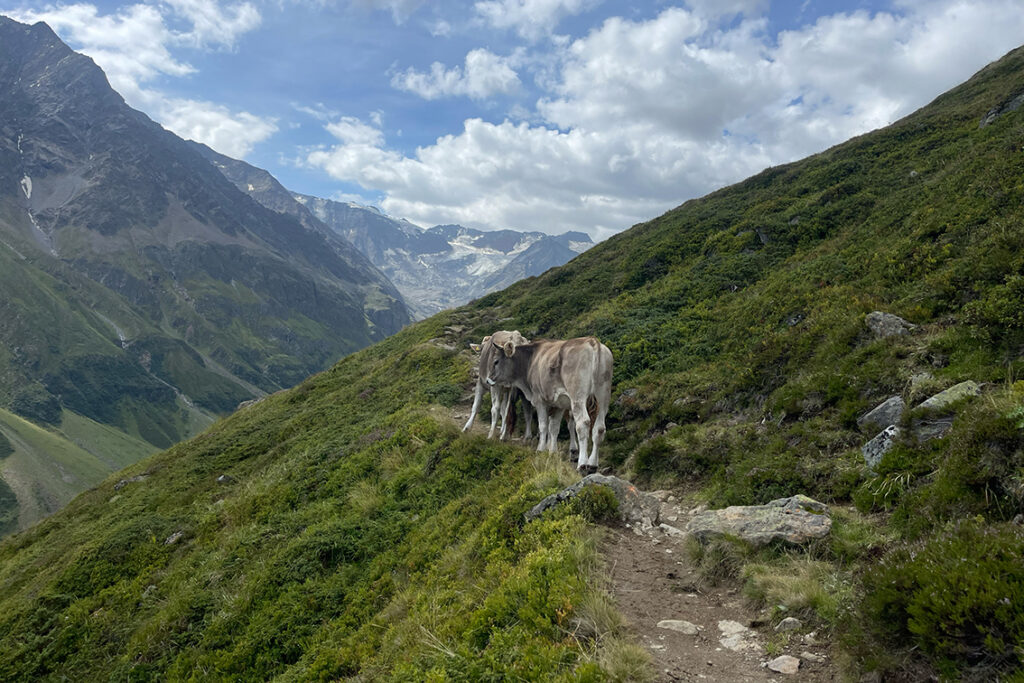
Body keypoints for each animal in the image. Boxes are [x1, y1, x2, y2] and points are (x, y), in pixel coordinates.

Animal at [485, 333, 610, 473]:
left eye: (496, 361)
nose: (488, 380)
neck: (531, 359)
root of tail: (592, 342)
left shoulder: (540, 401)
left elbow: (543, 426)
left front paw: (540, 450)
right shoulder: (559, 404)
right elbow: (554, 428)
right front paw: (552, 452)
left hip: (578, 398)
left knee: (583, 424)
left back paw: (582, 463)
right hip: (603, 398)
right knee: (599, 428)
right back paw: (592, 464)